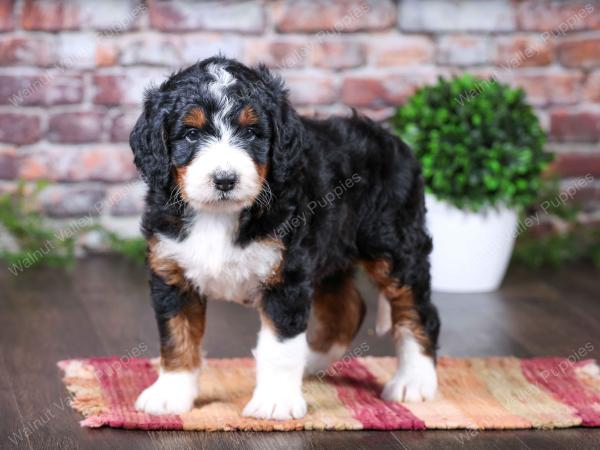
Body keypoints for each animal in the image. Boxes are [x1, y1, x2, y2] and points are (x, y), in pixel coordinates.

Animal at [130, 57, 440, 422]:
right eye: (191, 134)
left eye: (251, 132)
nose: (225, 179)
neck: (219, 215)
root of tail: (393, 140)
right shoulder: (171, 270)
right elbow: (177, 336)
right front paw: (170, 394)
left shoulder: (286, 277)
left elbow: (279, 347)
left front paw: (275, 401)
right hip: (331, 251)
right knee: (347, 309)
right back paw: (312, 362)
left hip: (393, 245)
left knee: (417, 311)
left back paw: (414, 382)